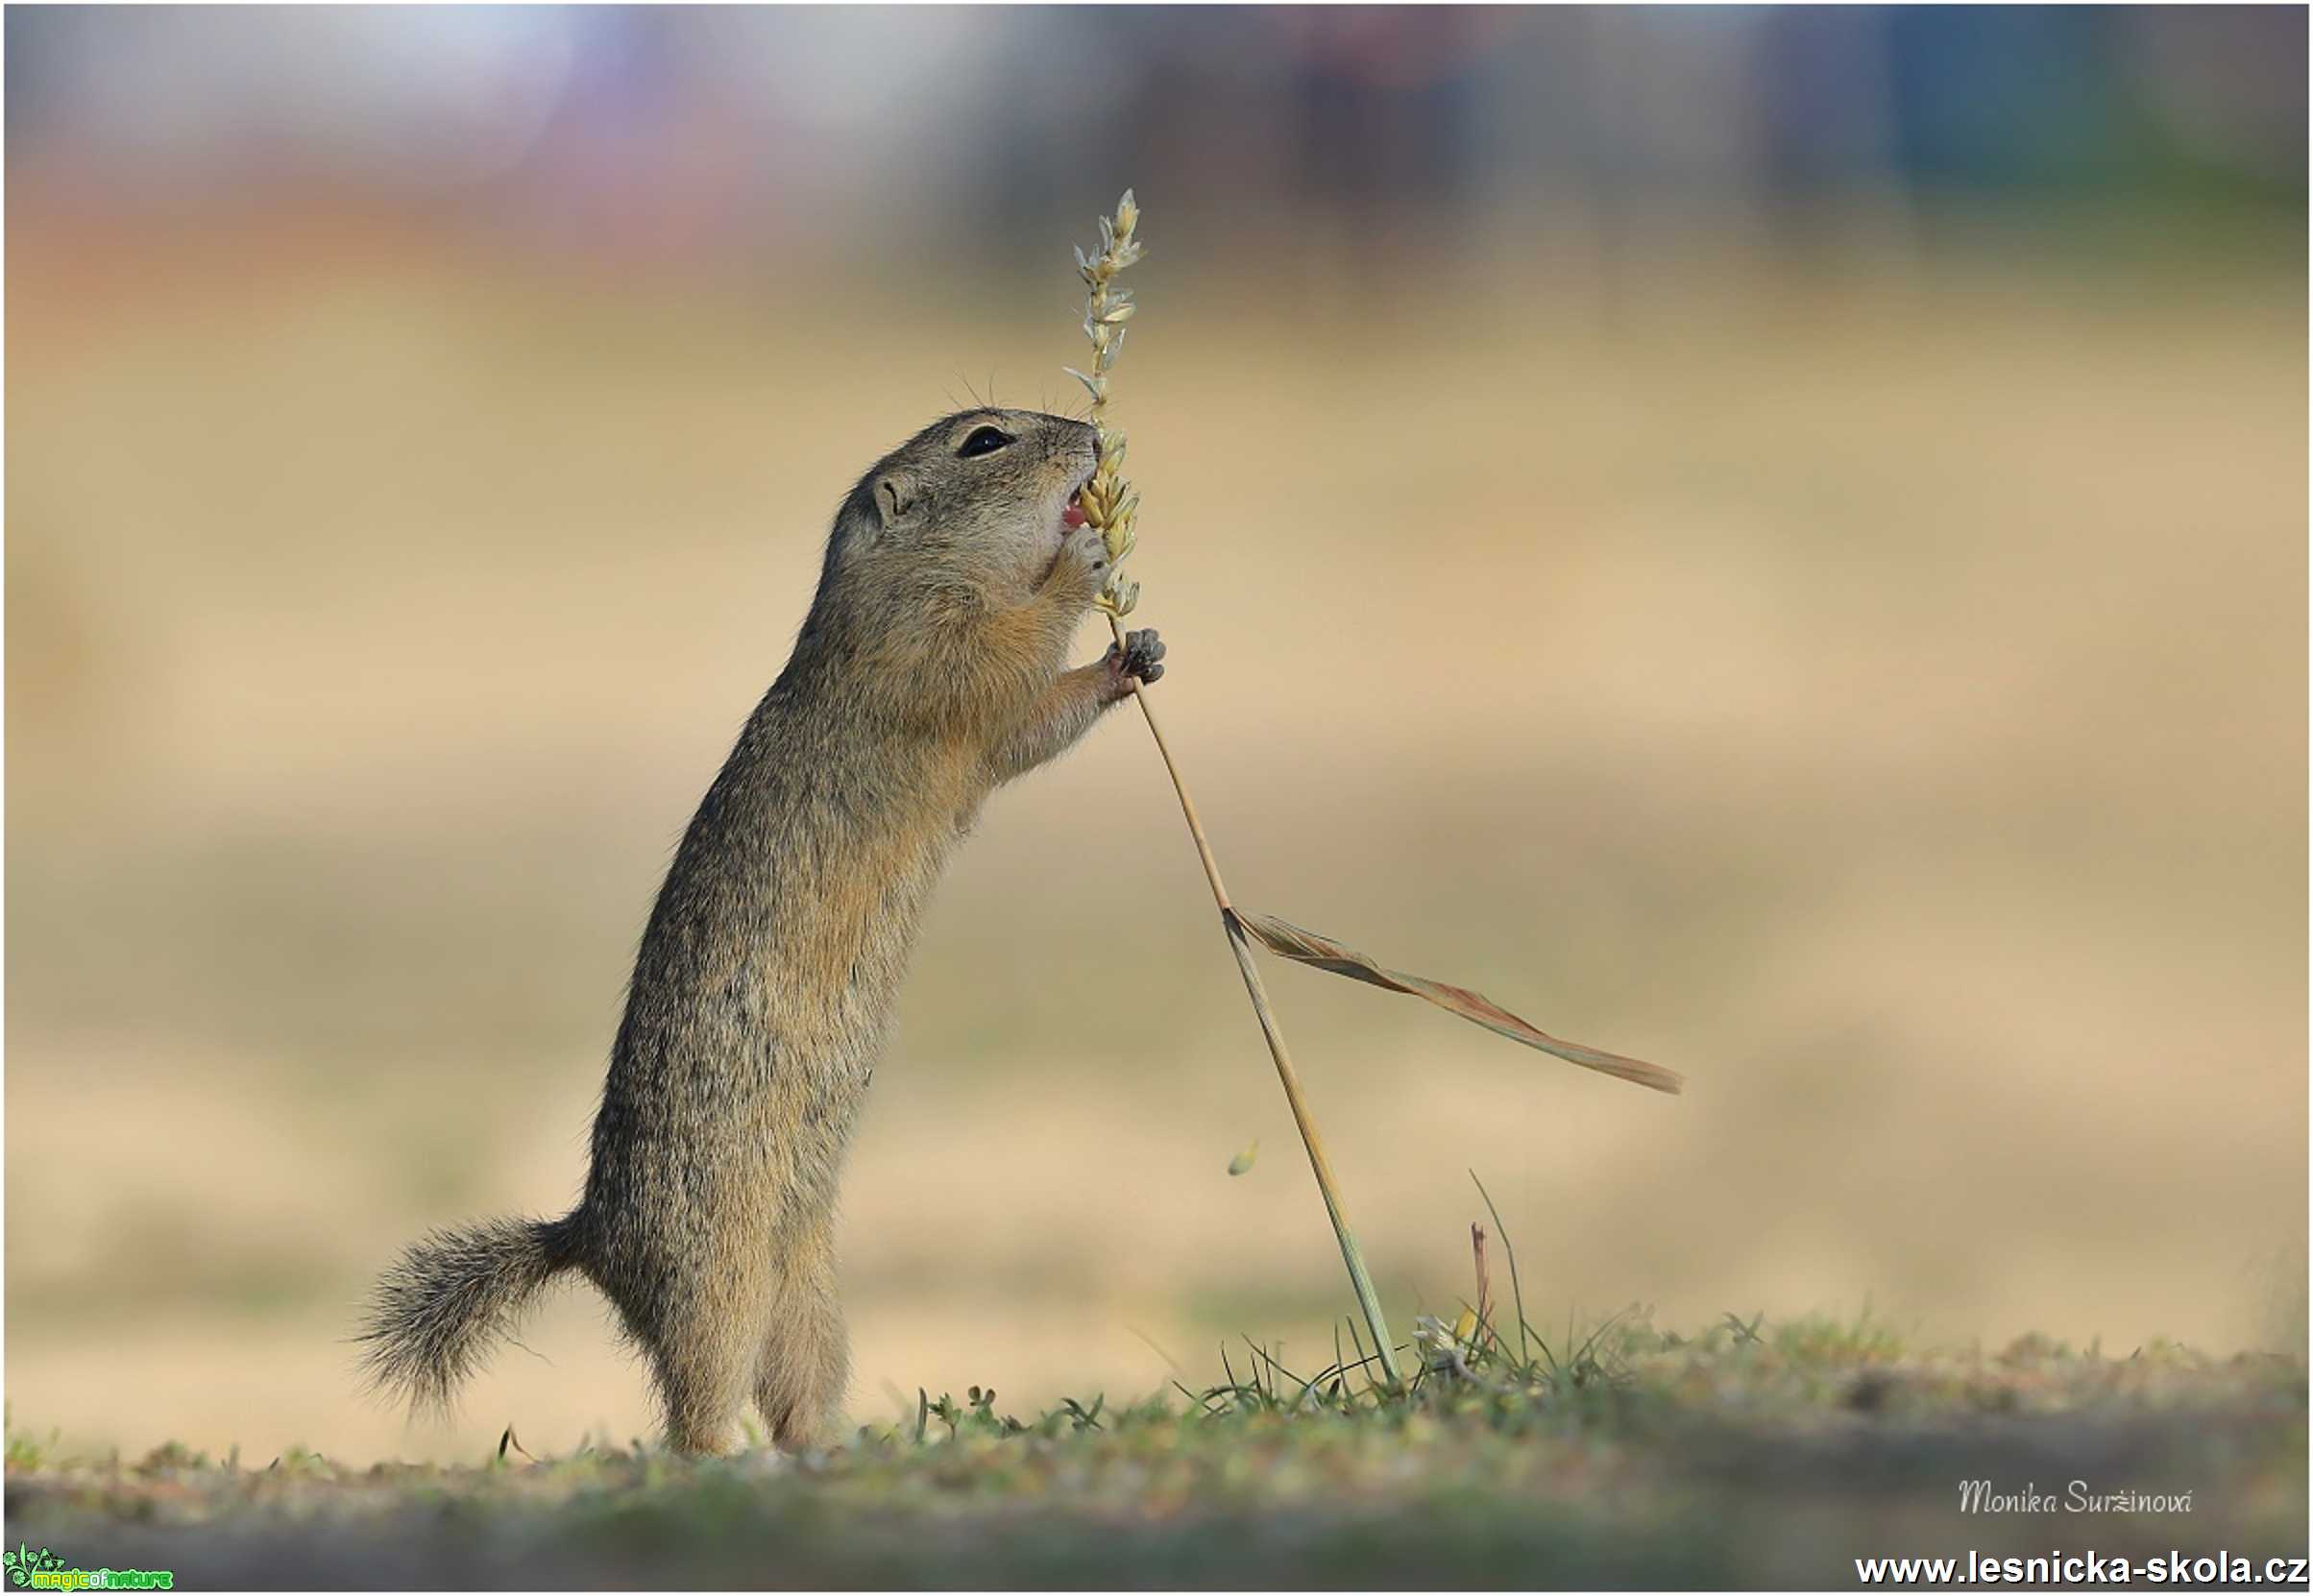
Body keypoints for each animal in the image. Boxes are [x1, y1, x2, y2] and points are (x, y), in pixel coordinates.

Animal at [363, 404, 1165, 1452]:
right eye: (984, 441)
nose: (1091, 437)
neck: (898, 577)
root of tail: (587, 1235)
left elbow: (1039, 713)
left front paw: (1138, 650)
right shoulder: (939, 656)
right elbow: (1017, 673)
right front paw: (1085, 561)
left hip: (806, 1295)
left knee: (793, 1392)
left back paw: (821, 1447)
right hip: (720, 1284)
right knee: (695, 1411)